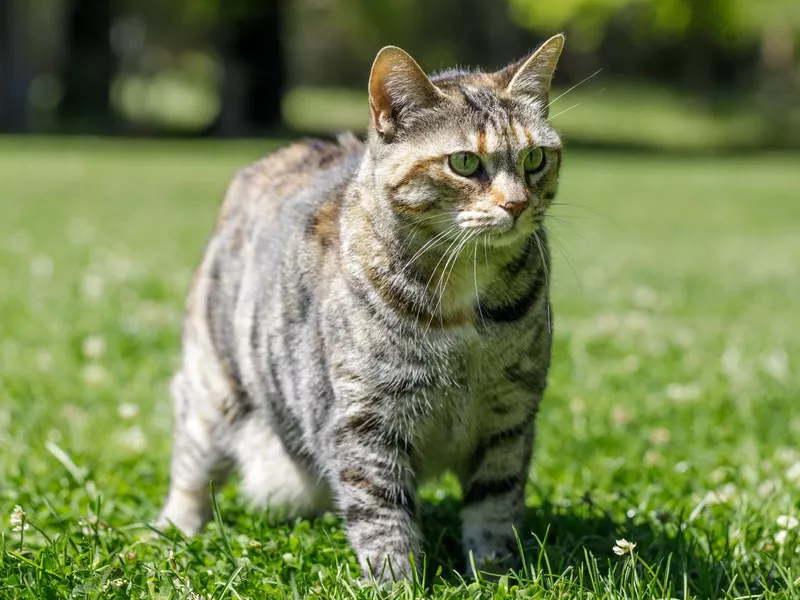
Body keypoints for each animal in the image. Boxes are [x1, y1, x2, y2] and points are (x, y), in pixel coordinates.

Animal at [159, 34, 564, 580]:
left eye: (535, 158)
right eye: (464, 163)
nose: (517, 204)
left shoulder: (510, 417)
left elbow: (494, 507)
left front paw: (497, 576)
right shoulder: (365, 419)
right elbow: (382, 515)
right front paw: (398, 582)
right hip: (213, 388)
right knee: (191, 470)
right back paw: (172, 531)